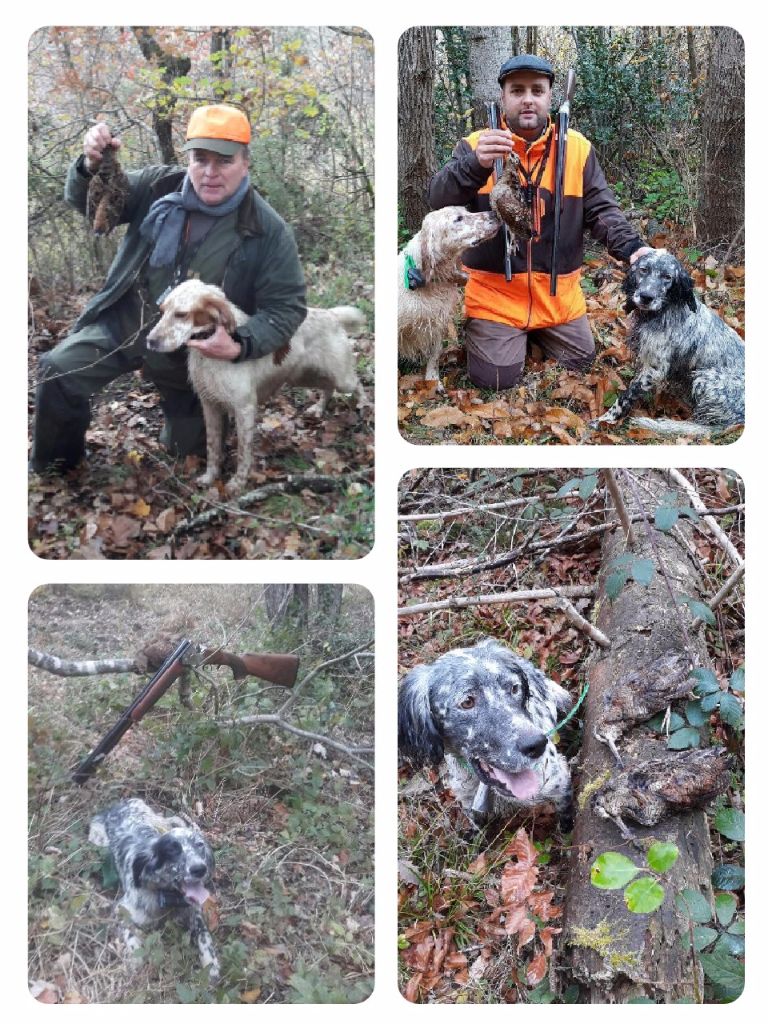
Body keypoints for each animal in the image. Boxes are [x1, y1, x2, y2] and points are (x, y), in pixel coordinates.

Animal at [149, 278, 370, 489]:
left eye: (181, 314)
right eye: (162, 311)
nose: (150, 341)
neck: (208, 358)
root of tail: (331, 315)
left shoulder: (244, 408)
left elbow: (243, 452)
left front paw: (238, 483)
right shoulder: (209, 405)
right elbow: (212, 447)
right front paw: (210, 476)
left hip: (341, 378)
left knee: (357, 384)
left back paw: (365, 406)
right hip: (304, 376)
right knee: (328, 387)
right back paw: (318, 408)